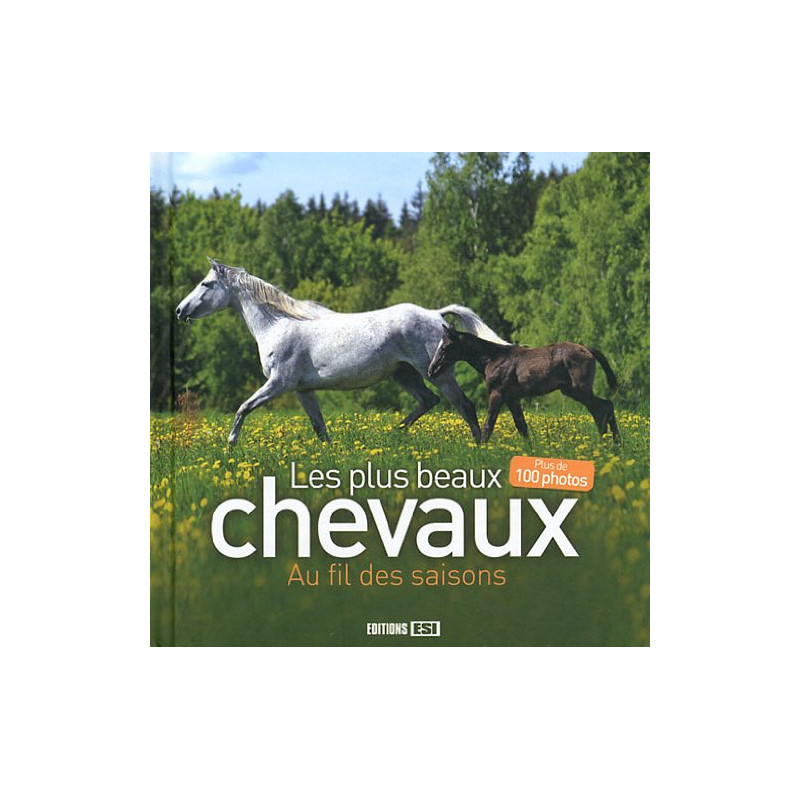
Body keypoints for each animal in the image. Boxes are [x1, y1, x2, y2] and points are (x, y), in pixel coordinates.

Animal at [175, 258, 509, 445]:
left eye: (206, 284)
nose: (180, 311)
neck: (277, 325)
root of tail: (436, 314)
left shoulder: (279, 384)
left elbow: (243, 408)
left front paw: (230, 445)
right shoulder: (302, 390)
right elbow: (319, 427)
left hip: (438, 373)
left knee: (464, 406)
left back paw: (478, 446)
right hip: (404, 375)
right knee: (428, 401)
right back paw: (394, 433)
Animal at [427, 324, 621, 444]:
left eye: (445, 347)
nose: (431, 370)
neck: (493, 359)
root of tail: (587, 349)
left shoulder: (497, 394)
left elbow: (488, 424)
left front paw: (481, 450)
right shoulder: (512, 398)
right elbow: (521, 426)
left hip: (578, 390)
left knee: (602, 408)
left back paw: (606, 444)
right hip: (574, 391)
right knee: (604, 408)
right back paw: (613, 444)